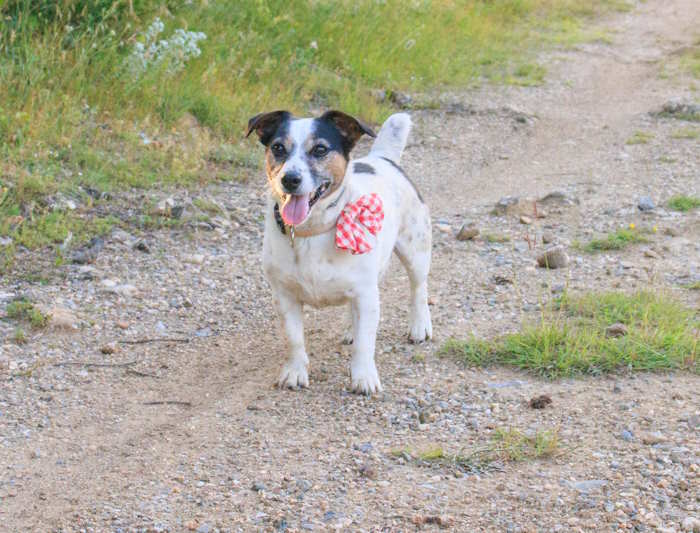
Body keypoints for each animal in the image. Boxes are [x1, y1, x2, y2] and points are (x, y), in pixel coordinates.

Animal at [246, 110, 432, 392]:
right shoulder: (284, 296)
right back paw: (350, 329)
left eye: (320, 149)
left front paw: (364, 377)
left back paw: (420, 326)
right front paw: (295, 372)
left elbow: (366, 344)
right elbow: (294, 338)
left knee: (418, 288)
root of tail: (382, 158)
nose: (290, 179)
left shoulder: (366, 295)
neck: (312, 231)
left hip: (415, 249)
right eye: (278, 148)